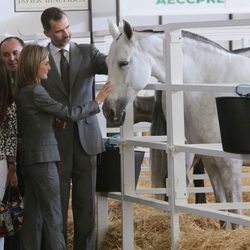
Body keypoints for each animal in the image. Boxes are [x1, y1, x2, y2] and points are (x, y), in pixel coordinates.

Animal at [103, 20, 250, 226]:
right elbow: (224, 216)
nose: (108, 110)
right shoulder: (211, 162)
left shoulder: (230, 164)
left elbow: (236, 216)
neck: (208, 86)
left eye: (123, 62)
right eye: (106, 62)